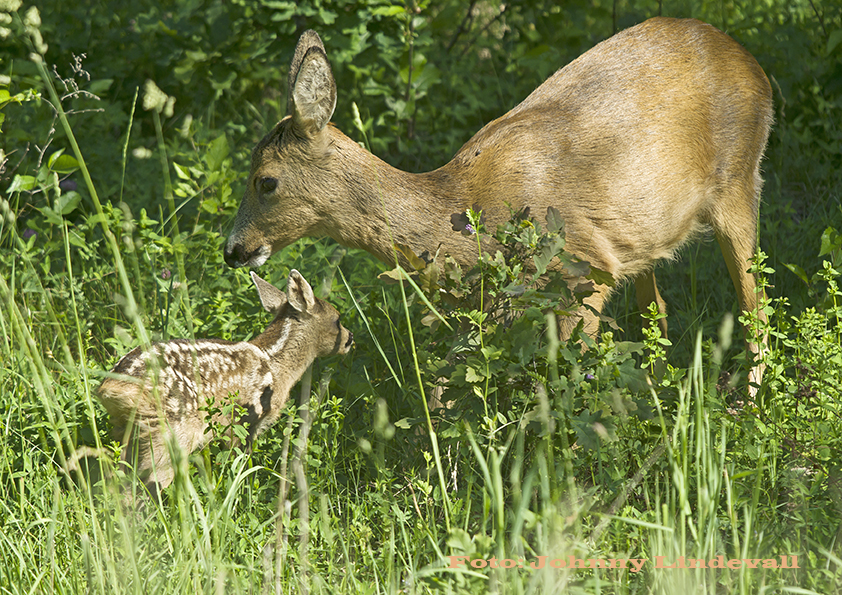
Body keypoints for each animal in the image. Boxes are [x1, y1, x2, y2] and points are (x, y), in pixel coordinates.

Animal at [99, 272, 354, 496]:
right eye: (337, 319)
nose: (350, 339)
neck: (276, 364)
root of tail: (113, 385)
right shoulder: (245, 421)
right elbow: (239, 466)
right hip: (171, 431)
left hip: (127, 430)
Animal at [225, 17, 776, 392]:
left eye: (265, 181)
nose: (233, 249)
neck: (464, 220)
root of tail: (750, 61)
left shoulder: (584, 272)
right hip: (645, 236)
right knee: (657, 310)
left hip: (740, 178)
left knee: (757, 307)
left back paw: (749, 404)